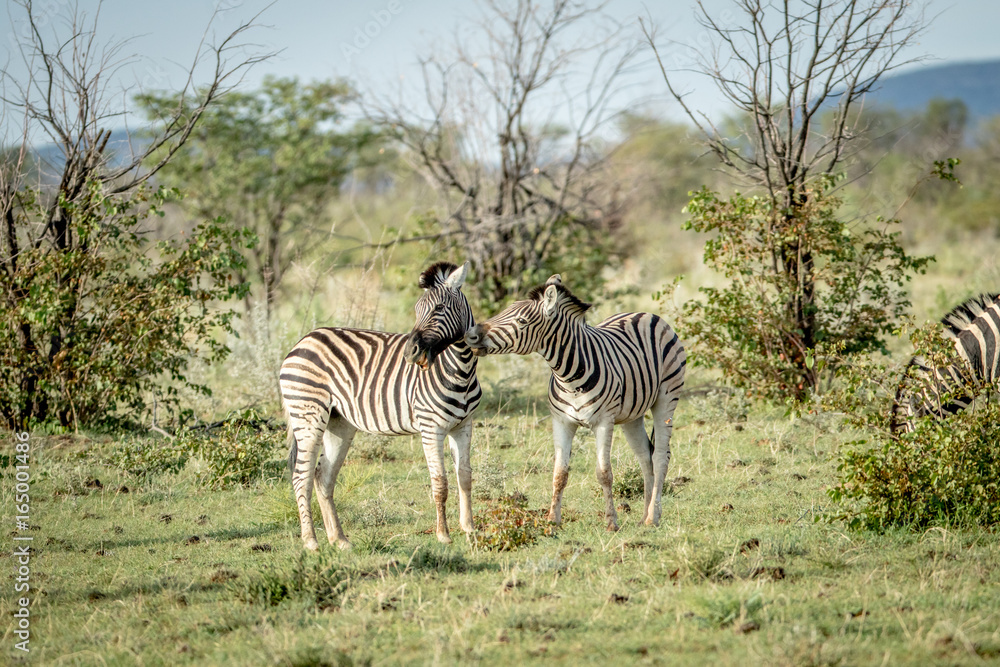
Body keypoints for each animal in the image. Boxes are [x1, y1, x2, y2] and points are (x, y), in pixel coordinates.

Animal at [279, 262, 481, 551]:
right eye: (417, 310)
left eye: (439, 308)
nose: (410, 353)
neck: (461, 369)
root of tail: (303, 340)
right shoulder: (431, 428)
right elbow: (440, 482)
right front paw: (443, 535)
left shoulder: (463, 426)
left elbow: (464, 477)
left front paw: (470, 530)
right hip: (308, 415)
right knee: (301, 476)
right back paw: (311, 541)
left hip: (338, 423)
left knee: (323, 477)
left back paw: (339, 539)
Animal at [464, 275, 686, 530]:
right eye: (503, 311)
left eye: (521, 320)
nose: (470, 335)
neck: (569, 376)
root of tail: (645, 314)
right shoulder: (561, 422)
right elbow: (559, 473)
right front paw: (553, 520)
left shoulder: (604, 422)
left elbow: (604, 473)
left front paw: (611, 522)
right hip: (632, 414)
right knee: (644, 457)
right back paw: (643, 517)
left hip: (666, 398)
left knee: (660, 457)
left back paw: (653, 517)